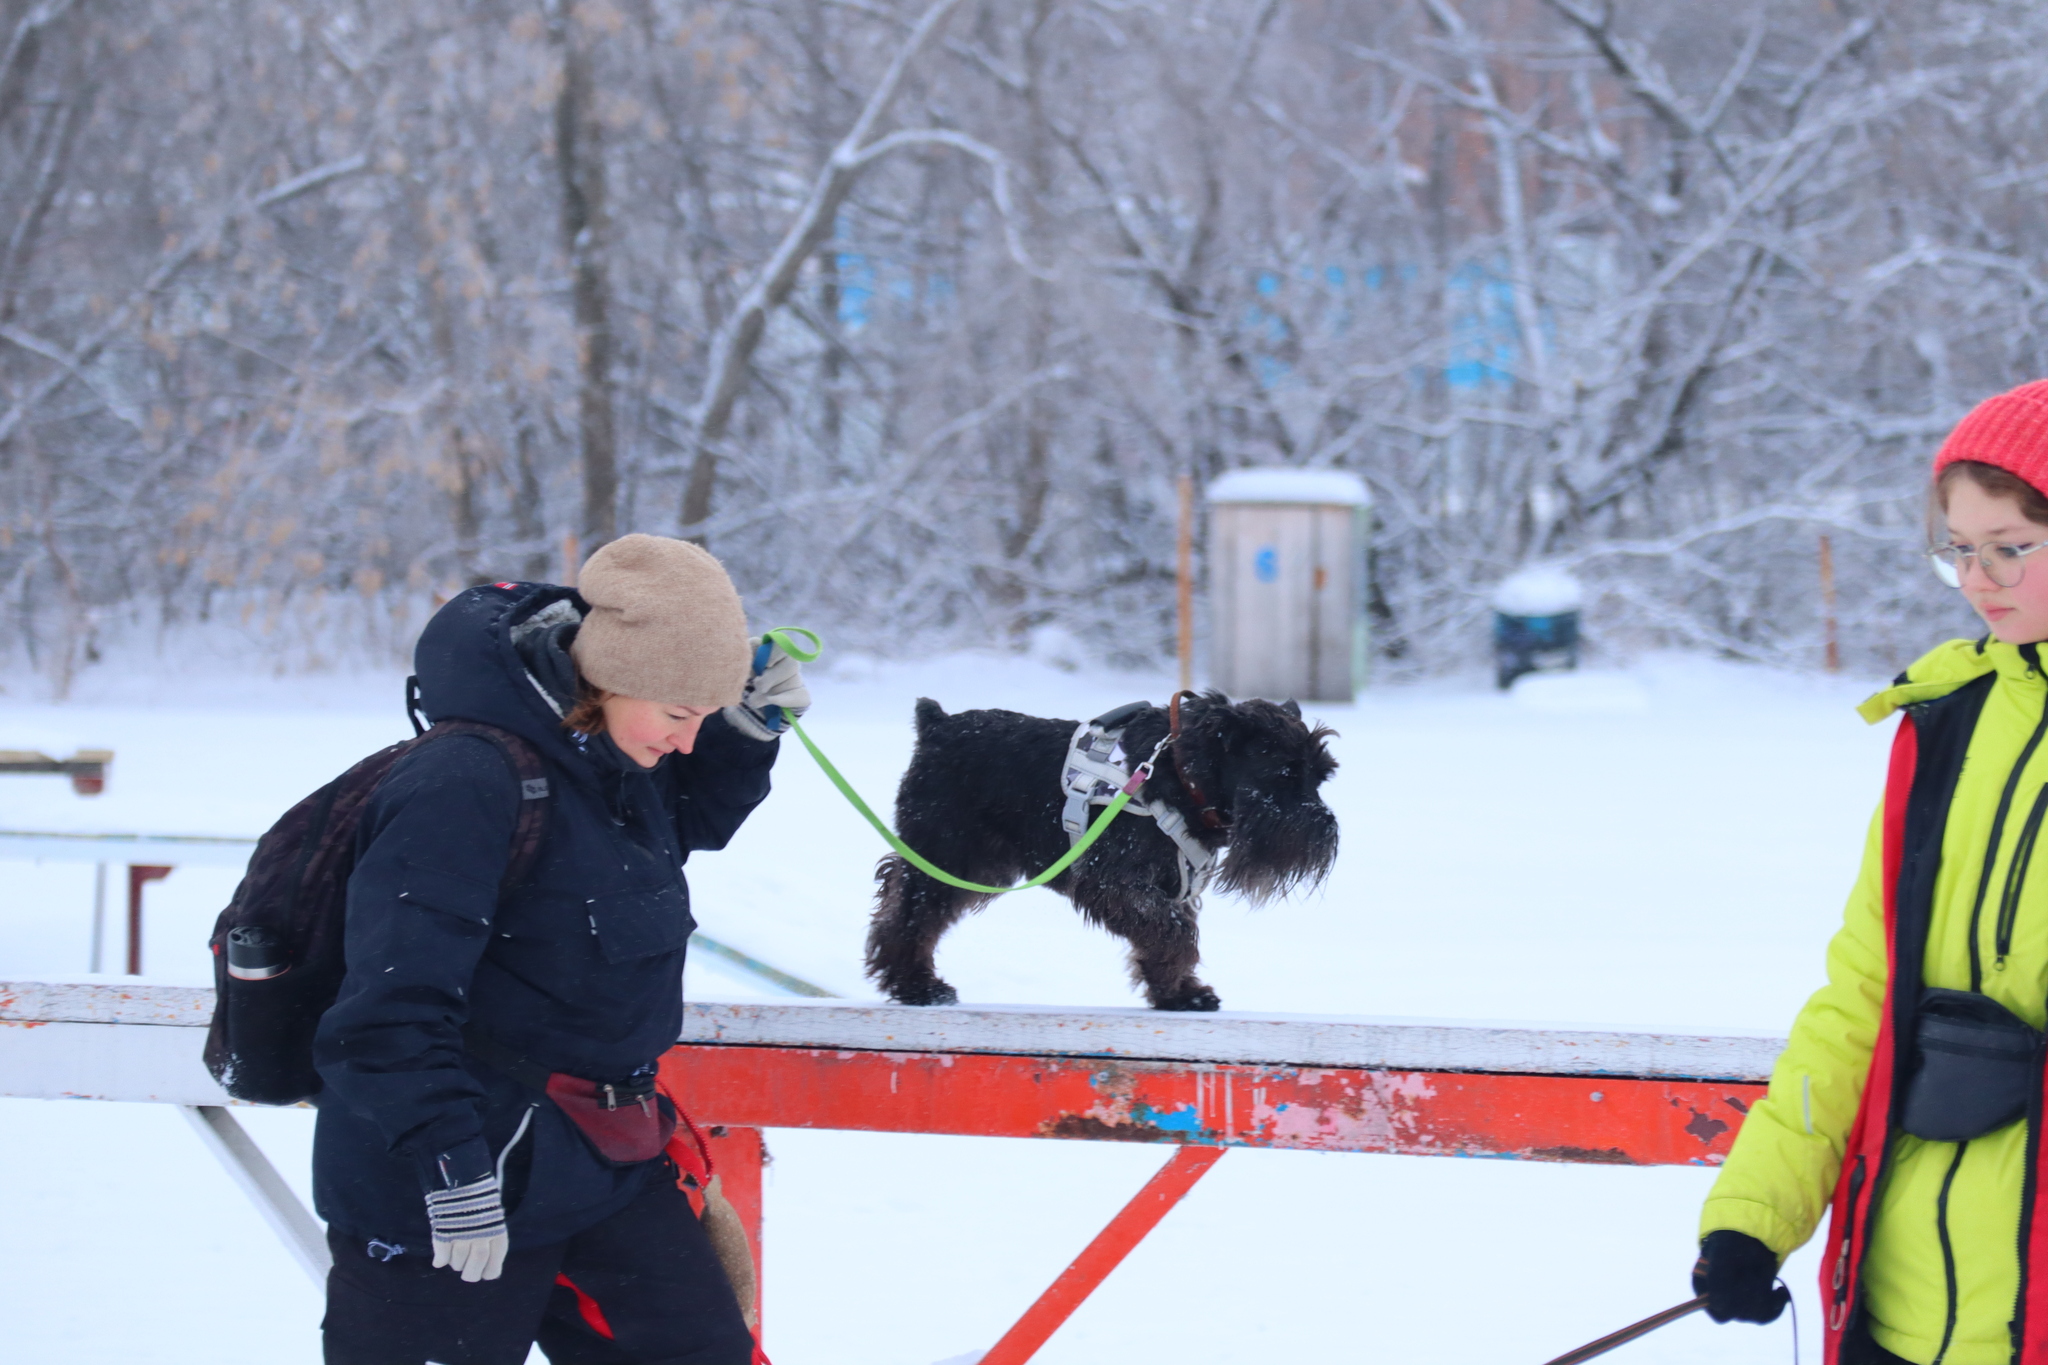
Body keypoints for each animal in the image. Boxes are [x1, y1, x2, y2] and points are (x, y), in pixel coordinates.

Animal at [864, 687, 1343, 1010]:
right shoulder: (1113, 881)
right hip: (943, 853)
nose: (1324, 830)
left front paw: (1177, 993)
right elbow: (1173, 932)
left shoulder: (1171, 885)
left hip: (974, 866)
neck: (1183, 775)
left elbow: (1169, 932)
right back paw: (914, 986)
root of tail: (937, 725)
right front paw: (1176, 986)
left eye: (1321, 775)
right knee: (906, 913)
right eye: (1282, 773)